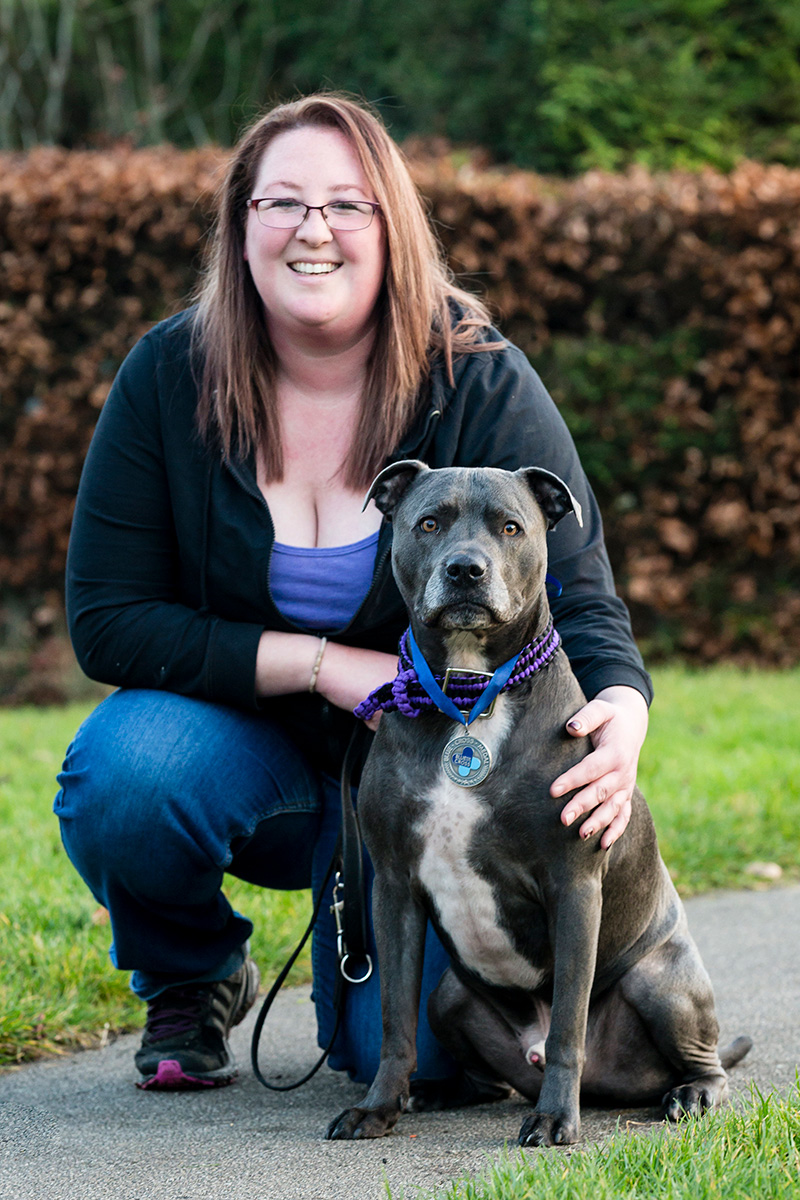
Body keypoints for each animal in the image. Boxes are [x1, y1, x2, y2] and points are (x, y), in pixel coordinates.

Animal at [326, 458, 753, 1142]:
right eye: (429, 522)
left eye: (510, 526)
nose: (465, 569)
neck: (472, 694)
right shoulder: (393, 887)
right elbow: (394, 1021)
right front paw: (378, 1107)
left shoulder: (573, 887)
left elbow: (568, 1027)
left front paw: (554, 1119)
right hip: (450, 994)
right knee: (483, 1072)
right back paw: (437, 1091)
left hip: (661, 982)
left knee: (702, 1060)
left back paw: (691, 1095)